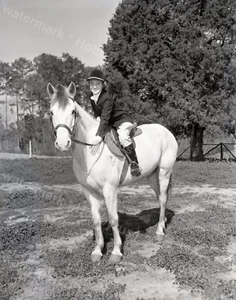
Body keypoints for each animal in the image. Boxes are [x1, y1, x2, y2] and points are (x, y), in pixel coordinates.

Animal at [47, 82, 178, 262]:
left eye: (73, 111)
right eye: (51, 112)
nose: (62, 143)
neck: (90, 150)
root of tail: (166, 131)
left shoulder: (109, 189)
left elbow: (113, 218)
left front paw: (116, 252)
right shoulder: (88, 191)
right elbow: (96, 220)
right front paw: (97, 251)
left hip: (163, 173)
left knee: (163, 198)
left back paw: (159, 231)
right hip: (152, 176)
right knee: (160, 198)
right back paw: (162, 222)